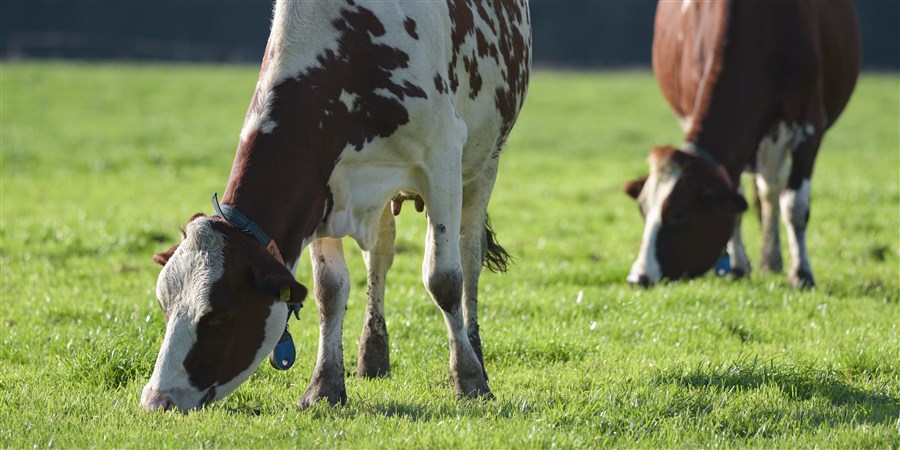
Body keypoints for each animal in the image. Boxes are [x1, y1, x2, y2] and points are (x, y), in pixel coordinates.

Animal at [142, 0, 532, 414]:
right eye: (164, 307)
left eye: (218, 316)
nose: (155, 399)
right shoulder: (321, 189)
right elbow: (329, 291)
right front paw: (324, 386)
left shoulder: (442, 156)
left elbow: (443, 280)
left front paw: (470, 379)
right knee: (380, 256)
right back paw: (372, 356)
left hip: (485, 164)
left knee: (469, 258)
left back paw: (475, 353)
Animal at [624, 0, 860, 288]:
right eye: (643, 209)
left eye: (679, 213)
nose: (638, 276)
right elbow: (737, 201)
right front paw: (737, 266)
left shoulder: (810, 122)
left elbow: (795, 205)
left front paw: (802, 273)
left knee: (772, 189)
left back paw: (773, 259)